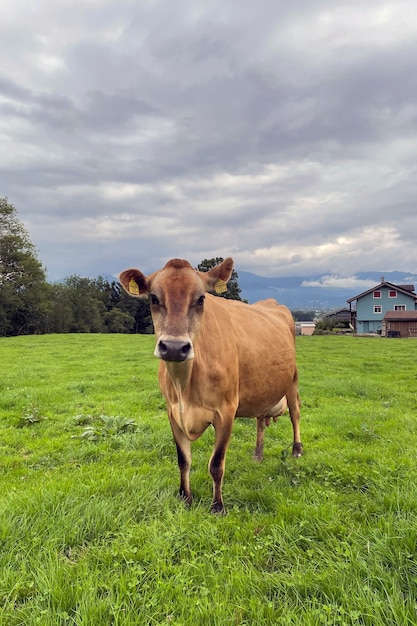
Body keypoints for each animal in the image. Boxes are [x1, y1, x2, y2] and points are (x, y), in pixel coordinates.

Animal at [120, 255, 302, 512]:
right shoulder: (172, 412)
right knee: (260, 419)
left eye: (201, 298)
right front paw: (185, 496)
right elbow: (183, 460)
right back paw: (258, 454)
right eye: (154, 298)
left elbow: (216, 463)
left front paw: (217, 506)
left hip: (293, 379)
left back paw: (297, 450)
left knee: (295, 414)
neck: (184, 386)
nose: (174, 347)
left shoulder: (226, 411)